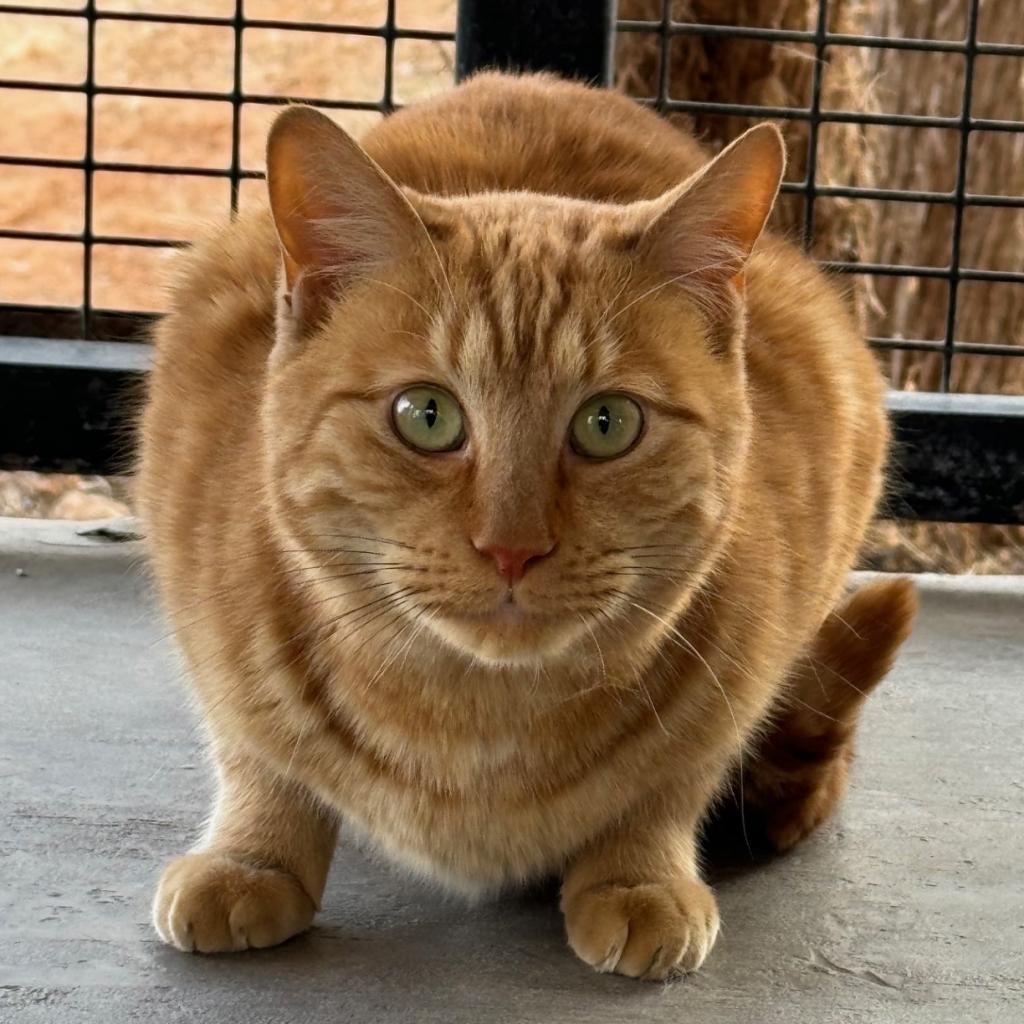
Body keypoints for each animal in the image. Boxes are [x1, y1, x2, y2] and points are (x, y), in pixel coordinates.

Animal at [136, 72, 913, 974]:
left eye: (608, 423)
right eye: (426, 415)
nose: (511, 549)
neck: (477, 720)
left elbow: (672, 782)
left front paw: (637, 874)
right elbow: (257, 756)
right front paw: (253, 858)